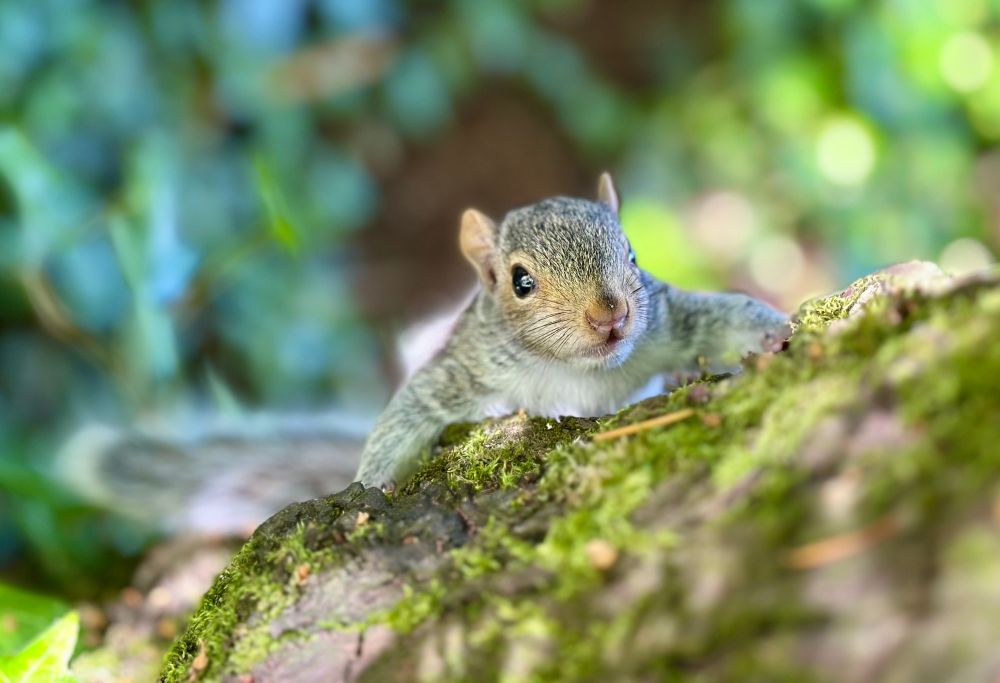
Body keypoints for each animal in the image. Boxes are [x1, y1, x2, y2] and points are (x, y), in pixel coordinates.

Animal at [355, 173, 789, 488]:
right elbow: (410, 410)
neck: (578, 370)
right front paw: (373, 483)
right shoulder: (469, 367)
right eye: (520, 282)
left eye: (632, 254)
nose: (610, 315)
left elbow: (723, 316)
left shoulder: (667, 320)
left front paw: (773, 332)